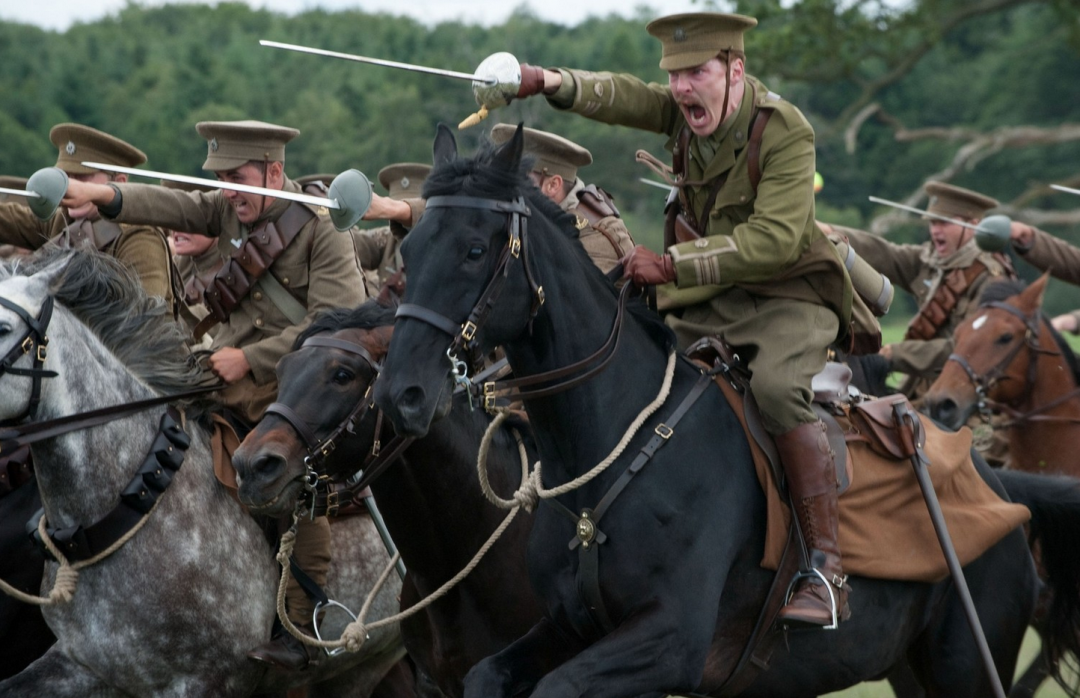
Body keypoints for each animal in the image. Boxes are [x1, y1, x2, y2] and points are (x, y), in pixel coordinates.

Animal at [371, 125, 1080, 698]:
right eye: (409, 251)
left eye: (474, 249)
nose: (401, 393)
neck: (613, 451)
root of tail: (998, 488)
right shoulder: (566, 625)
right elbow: (488, 676)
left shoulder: (670, 642)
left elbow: (561, 687)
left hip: (965, 668)